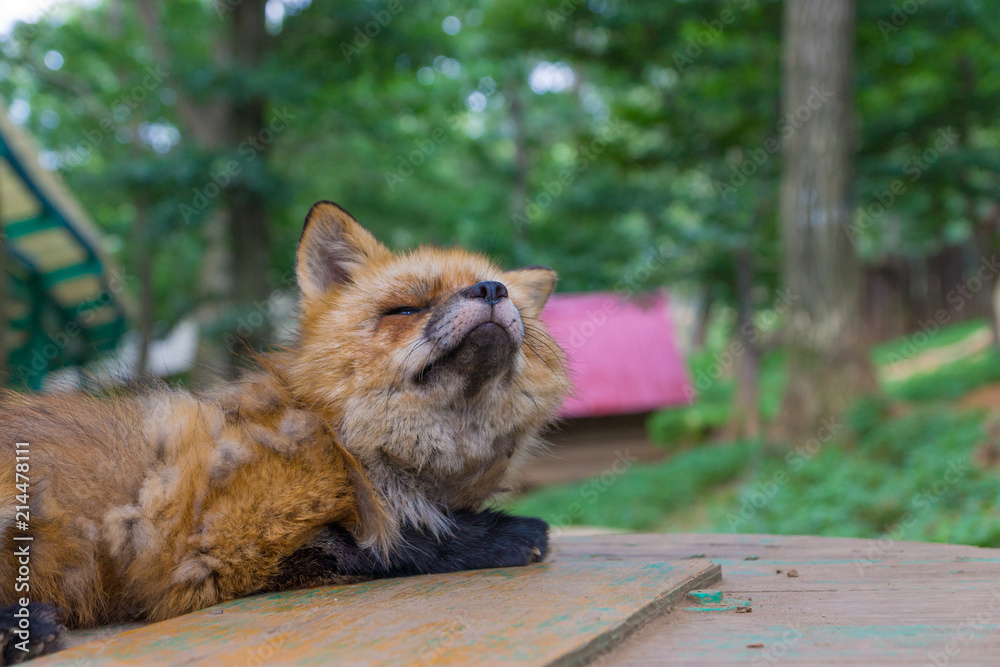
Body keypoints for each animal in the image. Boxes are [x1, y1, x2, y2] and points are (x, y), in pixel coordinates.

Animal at [0, 201, 568, 664]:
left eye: (507, 295)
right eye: (406, 309)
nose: (492, 290)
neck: (350, 446)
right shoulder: (216, 548)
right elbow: (393, 543)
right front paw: (503, 535)